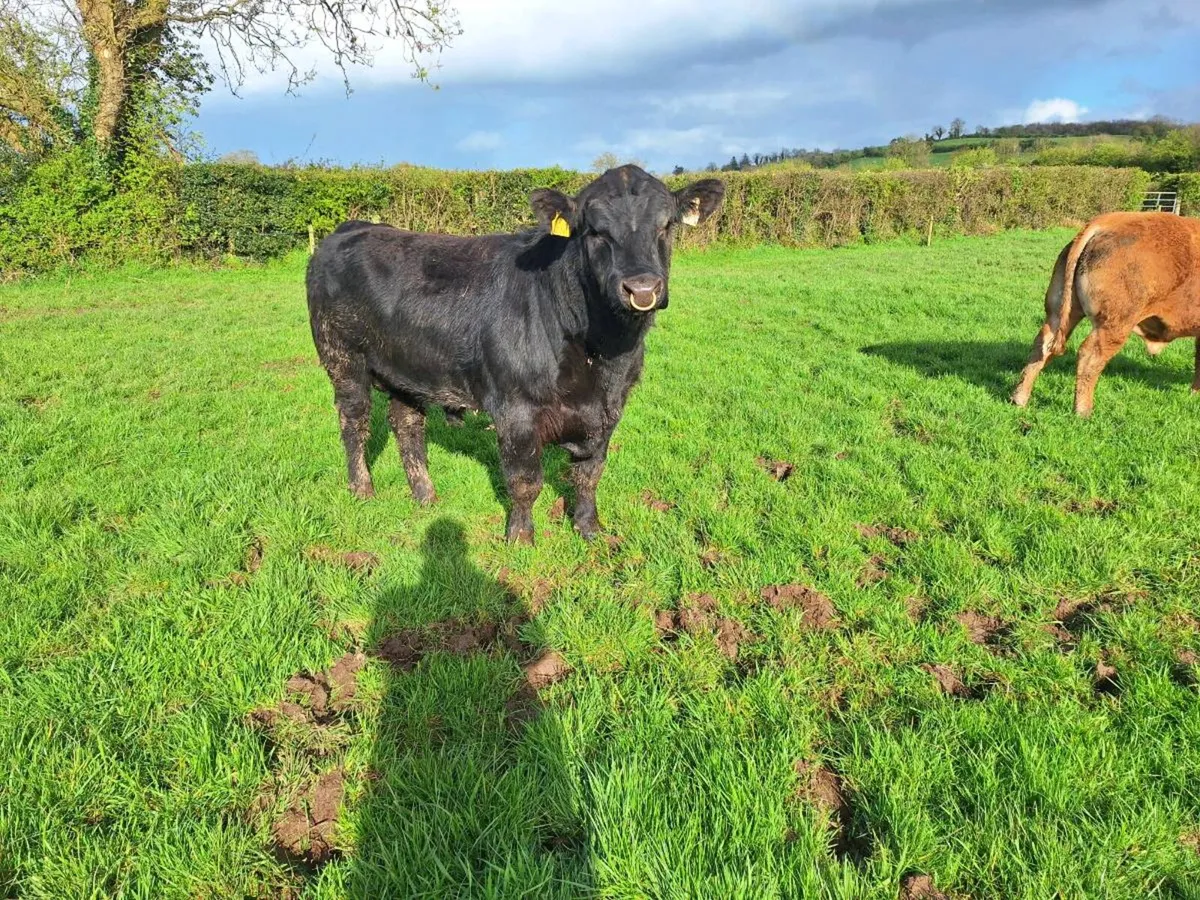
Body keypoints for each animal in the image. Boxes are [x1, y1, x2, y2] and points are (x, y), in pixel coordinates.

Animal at [306, 165, 725, 543]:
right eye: (595, 231)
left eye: (666, 226)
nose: (642, 288)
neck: (601, 355)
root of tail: (349, 228)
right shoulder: (516, 409)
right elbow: (525, 481)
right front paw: (521, 536)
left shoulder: (609, 410)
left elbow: (589, 474)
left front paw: (589, 528)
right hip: (342, 358)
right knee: (355, 422)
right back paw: (362, 489)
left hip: (407, 368)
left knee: (407, 424)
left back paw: (425, 496)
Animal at [1011, 211, 1200, 417]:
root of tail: (1107, 221)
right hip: (1114, 324)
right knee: (1089, 357)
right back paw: (1084, 412)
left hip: (1058, 311)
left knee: (1042, 346)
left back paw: (1019, 399)